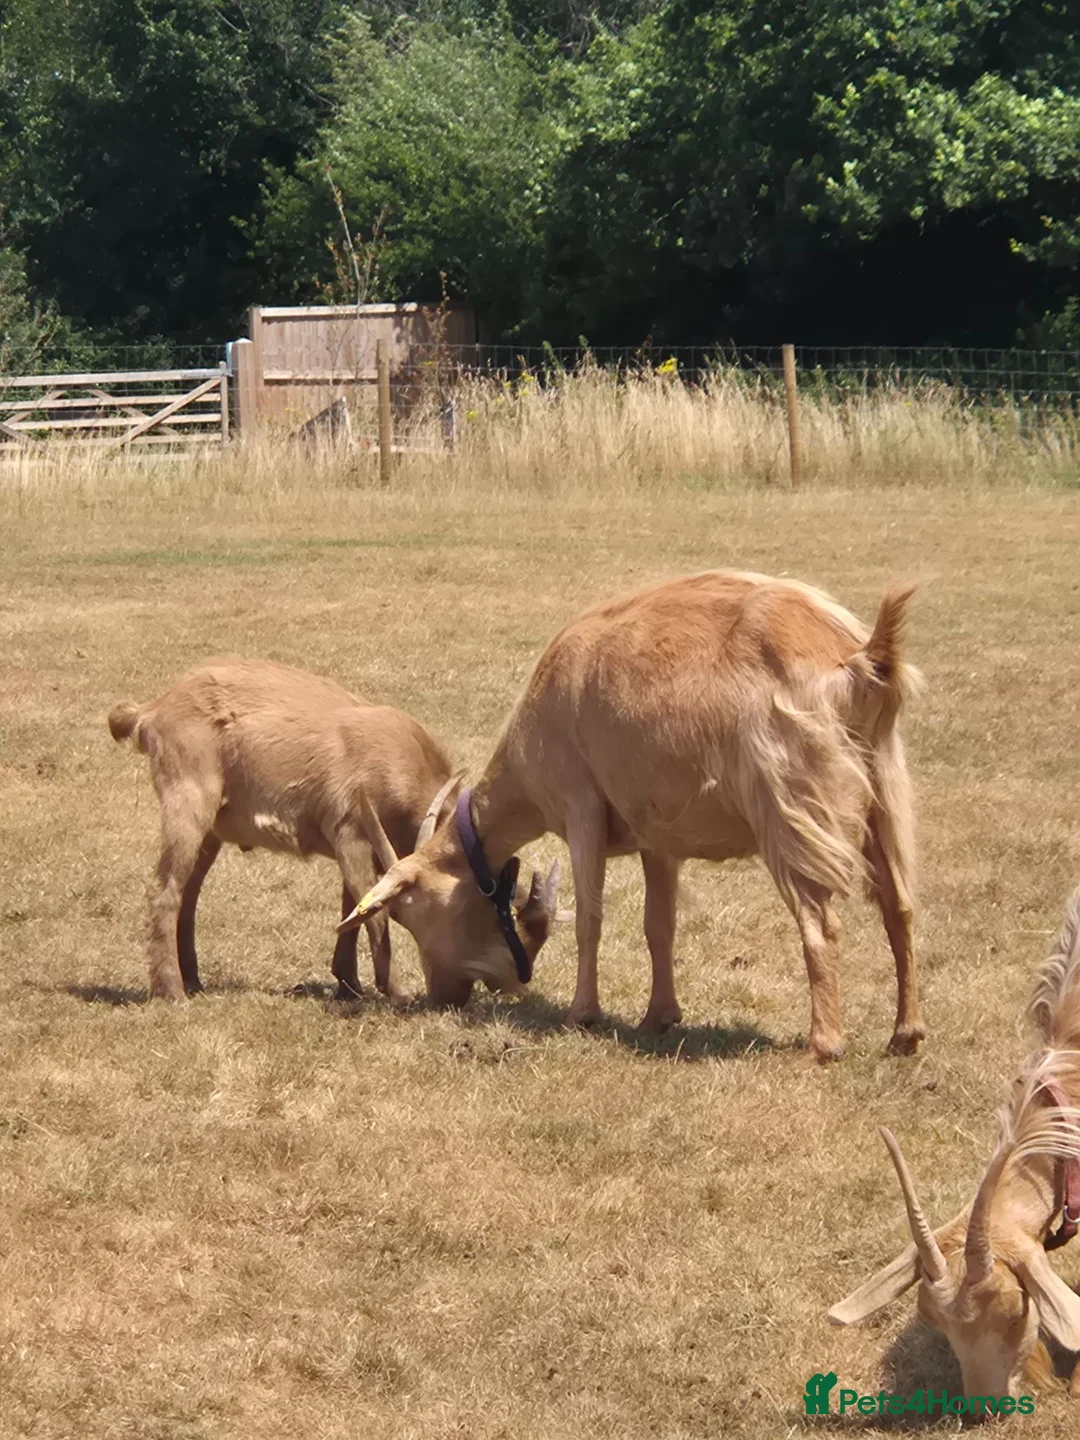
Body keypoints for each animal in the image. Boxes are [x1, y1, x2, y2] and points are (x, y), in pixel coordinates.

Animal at [108, 657, 458, 1003]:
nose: (449, 995)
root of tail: (153, 710)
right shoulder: (350, 832)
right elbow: (372, 911)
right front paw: (395, 991)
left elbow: (353, 906)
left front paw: (349, 985)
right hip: (187, 797)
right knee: (165, 889)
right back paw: (171, 990)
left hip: (211, 828)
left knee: (188, 893)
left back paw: (192, 979)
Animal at [340, 569, 923, 1061]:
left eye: (407, 913)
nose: (444, 996)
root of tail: (859, 658)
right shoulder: (657, 838)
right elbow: (657, 925)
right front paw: (658, 1016)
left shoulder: (581, 808)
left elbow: (590, 919)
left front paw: (582, 1013)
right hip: (883, 790)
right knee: (899, 906)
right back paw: (905, 1034)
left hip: (791, 808)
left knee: (820, 923)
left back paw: (824, 1044)